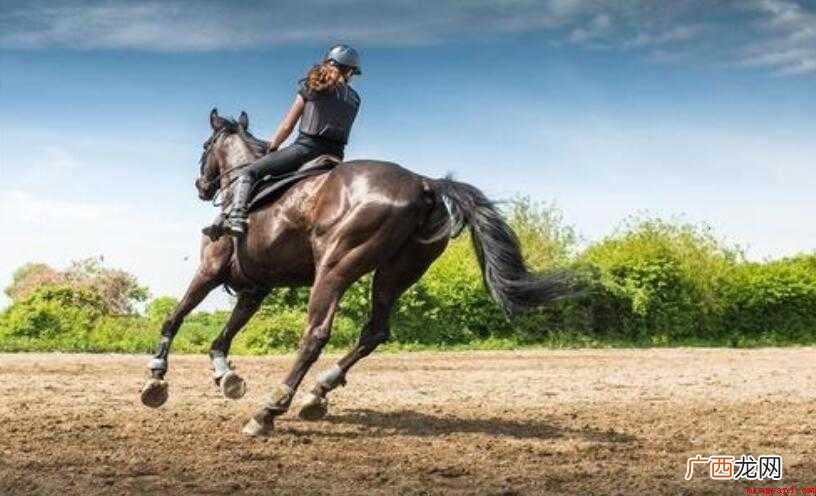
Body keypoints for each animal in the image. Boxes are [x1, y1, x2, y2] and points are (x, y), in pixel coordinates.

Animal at [140, 108, 572, 436]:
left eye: (204, 147)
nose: (201, 185)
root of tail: (424, 184)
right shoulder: (255, 288)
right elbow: (223, 337)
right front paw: (225, 376)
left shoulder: (210, 271)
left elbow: (174, 318)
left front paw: (156, 379)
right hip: (396, 273)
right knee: (375, 332)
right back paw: (318, 393)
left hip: (335, 267)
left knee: (315, 335)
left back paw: (268, 411)